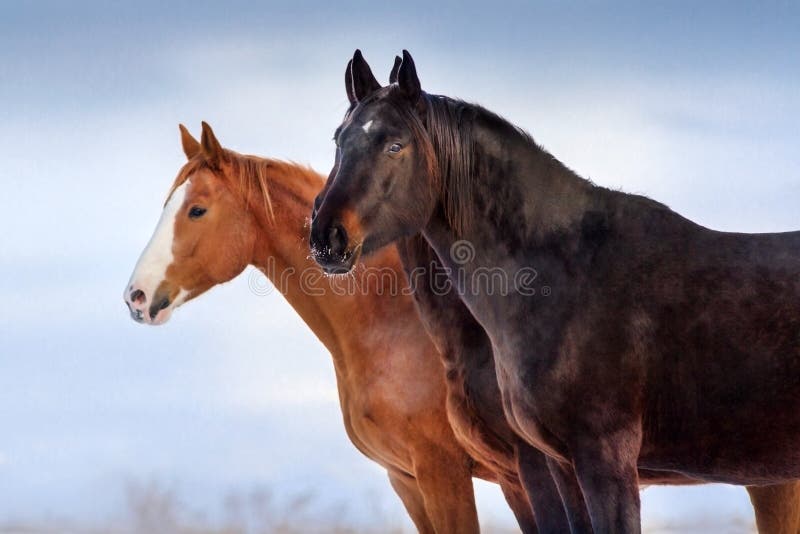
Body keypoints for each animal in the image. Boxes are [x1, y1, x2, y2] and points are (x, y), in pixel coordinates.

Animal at [308, 49, 800, 532]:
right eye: (339, 141)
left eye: (395, 145)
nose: (326, 237)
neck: (568, 277)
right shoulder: (561, 467)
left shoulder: (604, 463)